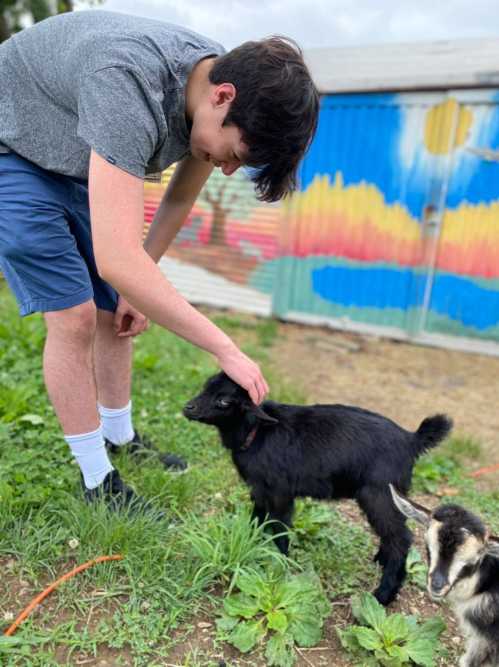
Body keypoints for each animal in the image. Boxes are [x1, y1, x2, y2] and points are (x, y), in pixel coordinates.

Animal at [184, 374, 454, 608]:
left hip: (379, 495)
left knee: (401, 538)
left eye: (224, 400)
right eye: (206, 386)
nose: (188, 407)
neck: (257, 432)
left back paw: (383, 595)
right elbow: (257, 519)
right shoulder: (260, 489)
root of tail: (411, 440)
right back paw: (380, 561)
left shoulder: (280, 492)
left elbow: (279, 527)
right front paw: (251, 545)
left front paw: (281, 563)